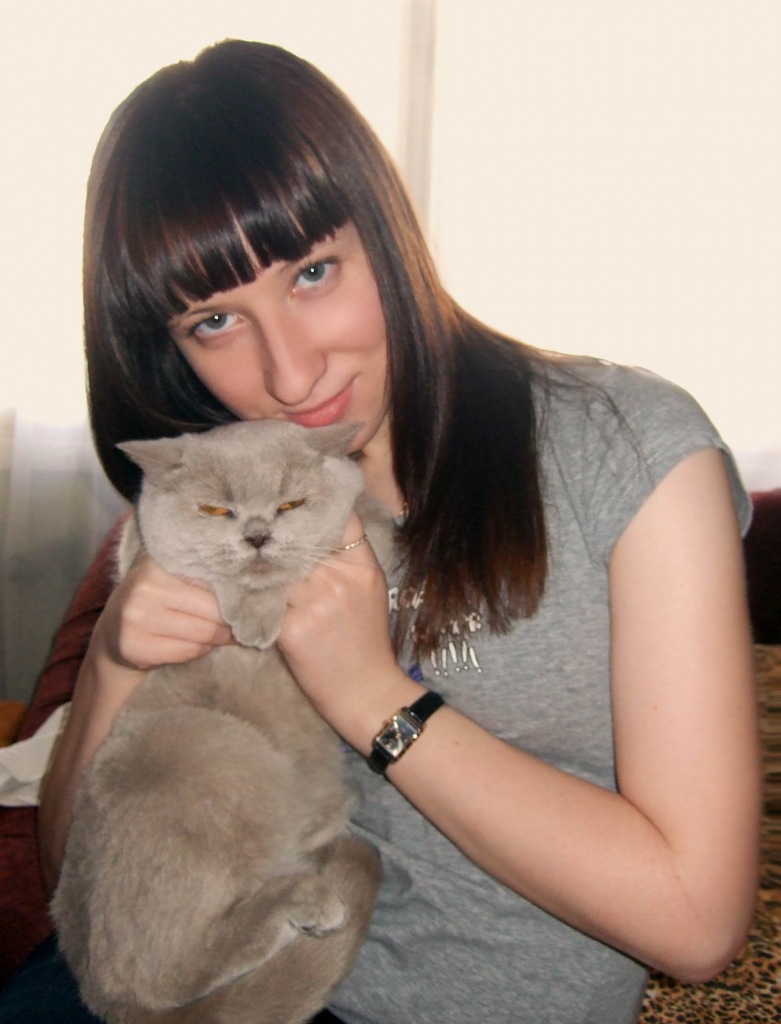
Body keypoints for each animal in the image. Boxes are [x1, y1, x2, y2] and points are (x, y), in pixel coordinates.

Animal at [51, 419, 391, 1024]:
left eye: (289, 503)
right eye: (215, 510)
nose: (257, 536)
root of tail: (103, 997)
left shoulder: (375, 544)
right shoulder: (137, 551)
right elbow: (204, 569)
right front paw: (252, 614)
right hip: (207, 744)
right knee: (172, 972)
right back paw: (305, 898)